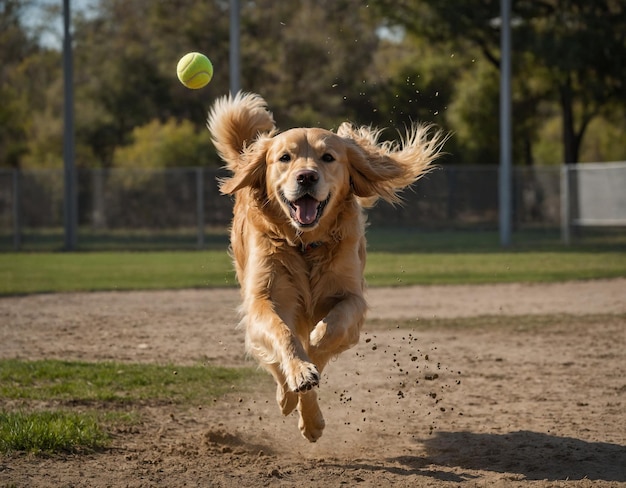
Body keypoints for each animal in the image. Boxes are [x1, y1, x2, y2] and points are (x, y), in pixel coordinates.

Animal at [207, 92, 442, 442]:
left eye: (328, 157)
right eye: (285, 157)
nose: (307, 176)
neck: (305, 246)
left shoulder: (352, 297)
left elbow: (330, 330)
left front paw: (312, 378)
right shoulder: (264, 299)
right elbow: (284, 335)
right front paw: (298, 380)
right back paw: (286, 394)